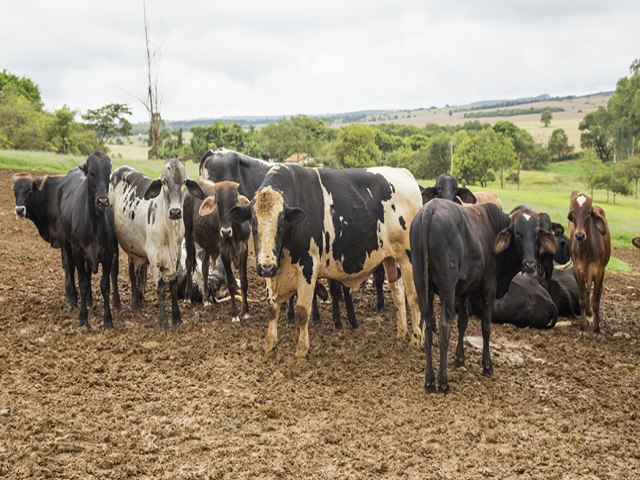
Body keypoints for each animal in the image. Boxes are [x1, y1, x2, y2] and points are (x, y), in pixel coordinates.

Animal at [57, 154, 120, 330]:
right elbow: (83, 283)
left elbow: (105, 286)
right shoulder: (78, 252)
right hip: (66, 242)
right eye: (91, 173)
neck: (94, 224)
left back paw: (90, 301)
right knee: (70, 268)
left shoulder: (107, 254)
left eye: (108, 173)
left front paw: (107, 319)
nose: (103, 201)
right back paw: (73, 299)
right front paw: (83, 317)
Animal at [107, 160, 202, 330]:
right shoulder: (154, 258)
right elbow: (161, 288)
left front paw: (176, 318)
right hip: (114, 242)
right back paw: (117, 303)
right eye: (164, 182)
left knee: (133, 274)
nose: (175, 212)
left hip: (133, 249)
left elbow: (173, 285)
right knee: (114, 268)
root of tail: (119, 170)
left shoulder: (176, 256)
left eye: (184, 182)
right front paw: (163, 322)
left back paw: (137, 304)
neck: (169, 231)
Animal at [231, 164, 424, 356]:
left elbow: (302, 312)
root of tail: (403, 172)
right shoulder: (273, 272)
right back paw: (401, 334)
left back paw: (416, 339)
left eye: (282, 222)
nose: (266, 267)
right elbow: (272, 309)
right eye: (253, 222)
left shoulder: (308, 266)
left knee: (413, 296)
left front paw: (301, 350)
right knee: (398, 293)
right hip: (391, 258)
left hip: (408, 258)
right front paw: (269, 345)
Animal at [412, 201, 556, 392]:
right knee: (444, 326)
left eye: (536, 233)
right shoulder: (489, 287)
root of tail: (430, 210)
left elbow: (463, 322)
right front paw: (487, 365)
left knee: (428, 326)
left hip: (421, 285)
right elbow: (486, 327)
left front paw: (459, 358)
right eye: (518, 233)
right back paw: (443, 382)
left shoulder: (463, 290)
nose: (530, 264)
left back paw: (429, 380)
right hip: (446, 288)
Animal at [568, 190, 612, 330]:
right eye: (573, 211)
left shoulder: (599, 271)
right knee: (587, 292)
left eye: (588, 212)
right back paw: (588, 312)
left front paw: (596, 326)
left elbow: (596, 300)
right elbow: (582, 298)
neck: (586, 249)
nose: (579, 235)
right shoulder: (577, 270)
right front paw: (582, 325)